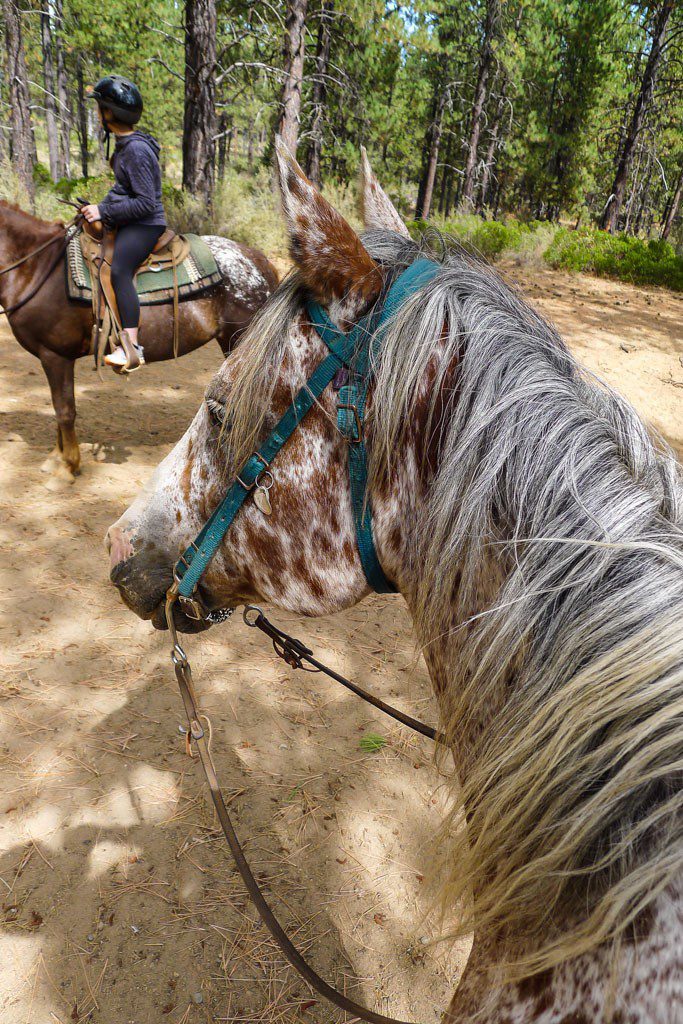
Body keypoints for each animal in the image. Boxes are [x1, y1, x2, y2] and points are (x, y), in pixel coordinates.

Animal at [0, 203, 278, 483]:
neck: (38, 269)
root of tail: (261, 262)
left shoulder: (55, 356)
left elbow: (64, 410)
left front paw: (67, 466)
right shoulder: (55, 358)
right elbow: (60, 409)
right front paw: (57, 459)